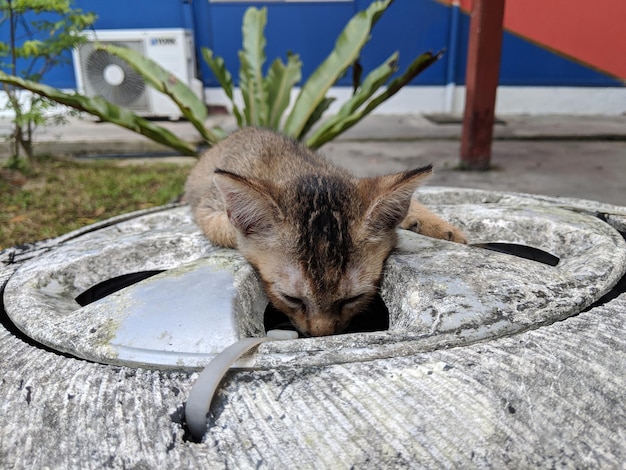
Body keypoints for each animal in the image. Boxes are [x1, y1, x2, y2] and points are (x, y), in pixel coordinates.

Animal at [182, 126, 464, 336]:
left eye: (353, 299)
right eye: (292, 299)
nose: (322, 334)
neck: (296, 169)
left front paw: (442, 226)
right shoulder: (208, 208)